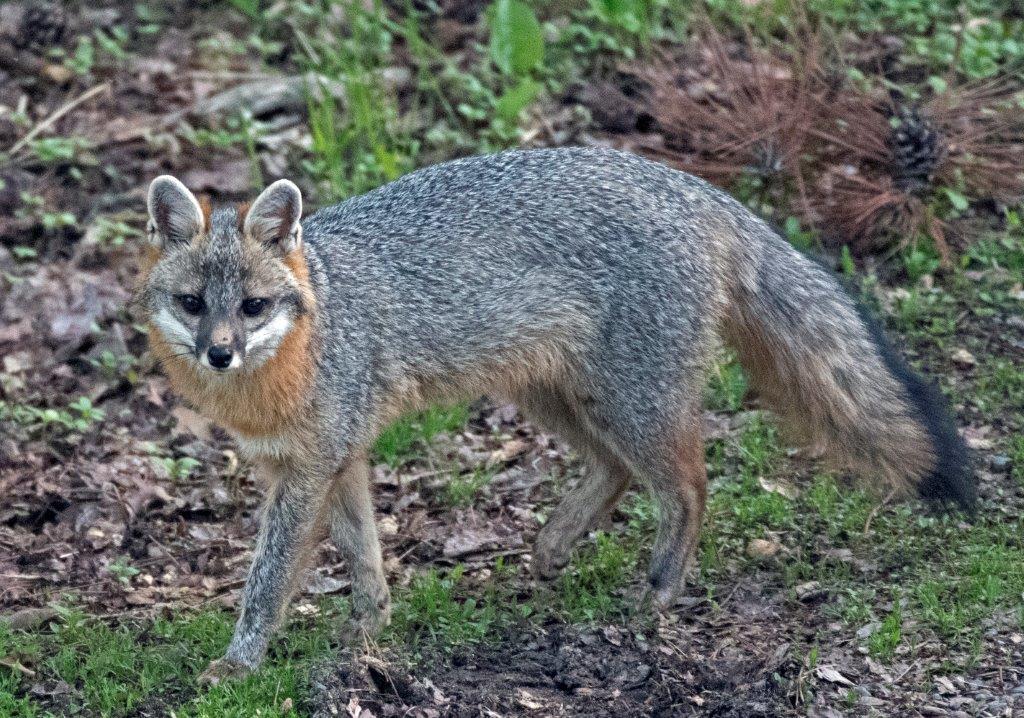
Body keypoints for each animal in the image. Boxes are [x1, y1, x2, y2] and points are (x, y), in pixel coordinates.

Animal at [135, 147, 974, 684]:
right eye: (192, 304)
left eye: (251, 307)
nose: (219, 354)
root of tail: (689, 186)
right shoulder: (336, 458)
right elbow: (363, 553)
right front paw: (368, 628)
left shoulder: (309, 469)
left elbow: (270, 578)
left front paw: (239, 661)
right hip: (557, 396)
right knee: (616, 471)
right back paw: (555, 546)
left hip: (633, 404)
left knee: (689, 488)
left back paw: (657, 594)